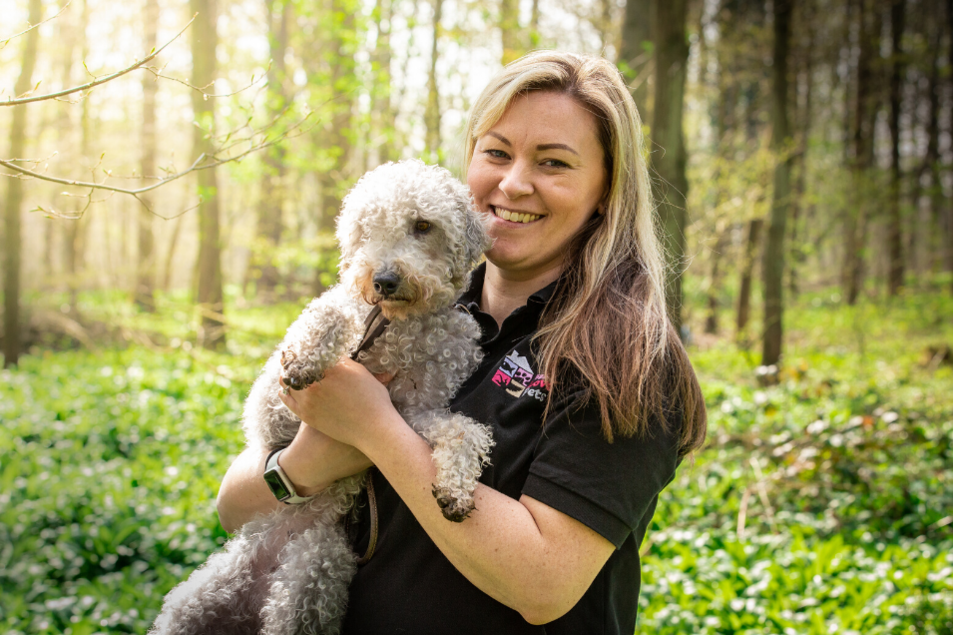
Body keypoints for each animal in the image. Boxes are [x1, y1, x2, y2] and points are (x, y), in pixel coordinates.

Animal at [152, 160, 494, 635]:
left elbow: (464, 431)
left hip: (311, 577)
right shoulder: (272, 408)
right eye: (366, 228)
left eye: (423, 225)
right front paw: (308, 355)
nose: (383, 280)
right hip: (192, 602)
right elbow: (331, 312)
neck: (396, 327)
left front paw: (456, 488)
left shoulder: (413, 413)